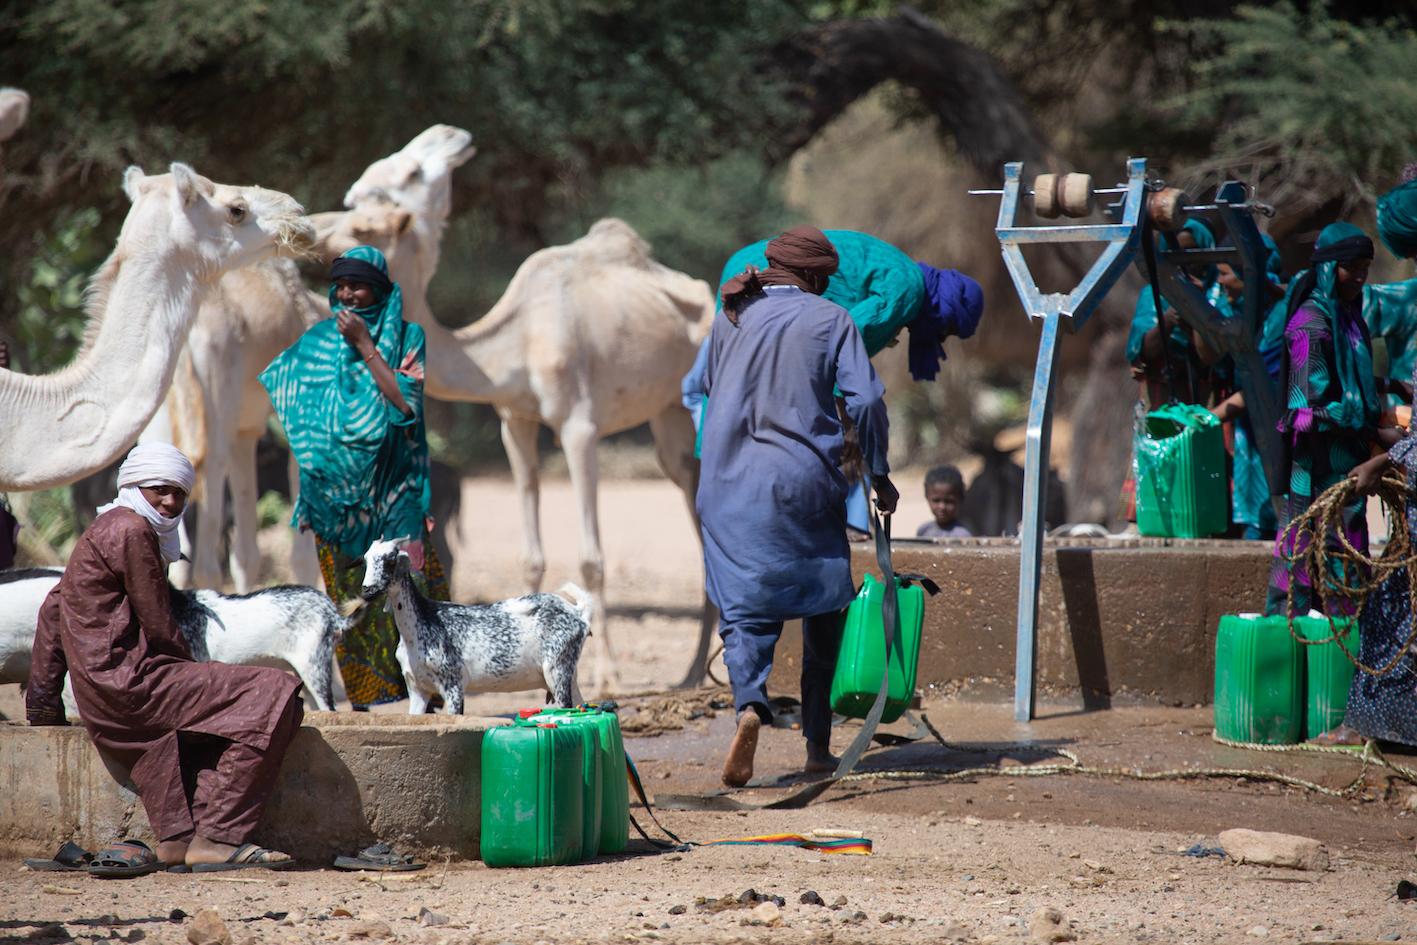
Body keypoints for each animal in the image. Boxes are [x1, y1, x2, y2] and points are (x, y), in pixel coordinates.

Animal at [151, 123, 476, 592]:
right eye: (412, 171)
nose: (452, 135)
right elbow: (305, 552)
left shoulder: (249, 430)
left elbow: (247, 553)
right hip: (211, 415)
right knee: (205, 546)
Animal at [362, 535, 595, 714]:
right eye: (366, 559)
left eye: (390, 560)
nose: (367, 590)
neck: (424, 621)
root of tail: (578, 613)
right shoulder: (418, 689)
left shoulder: (454, 684)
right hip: (569, 675)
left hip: (557, 671)